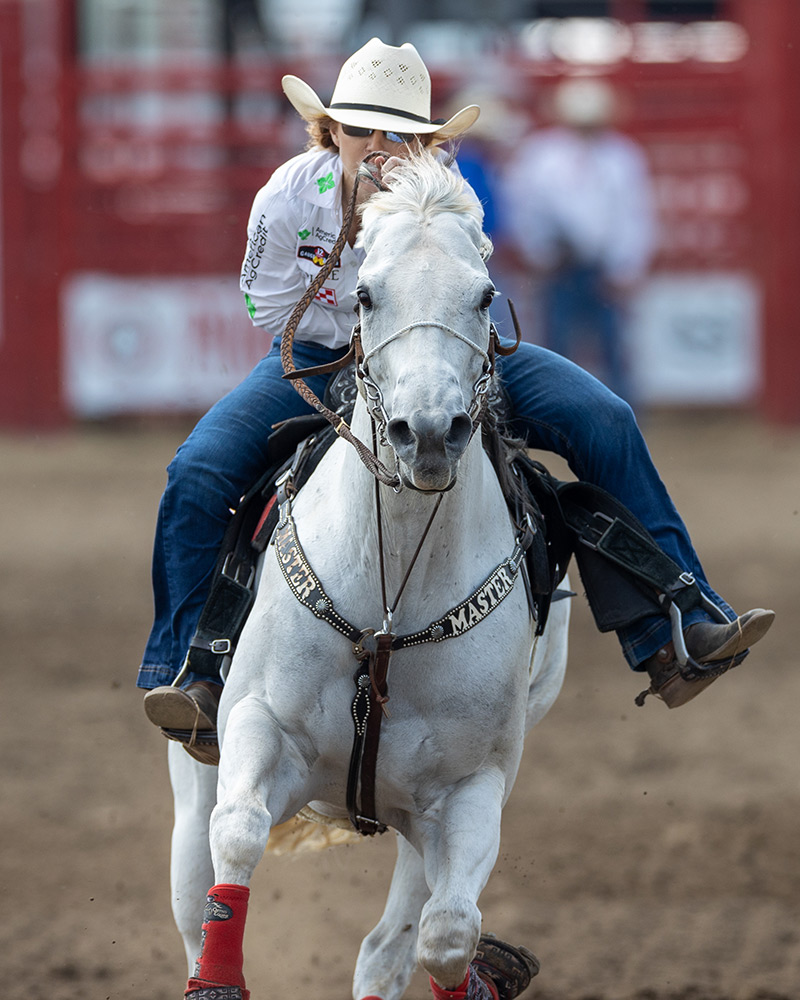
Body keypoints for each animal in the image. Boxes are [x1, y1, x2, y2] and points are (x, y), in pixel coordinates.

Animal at [167, 150, 568, 1000]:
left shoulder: (471, 789)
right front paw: (219, 980)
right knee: (192, 893)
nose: (429, 432)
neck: (388, 607)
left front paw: (488, 971)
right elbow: (240, 833)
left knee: (392, 944)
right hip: (192, 762)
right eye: (364, 292)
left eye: (484, 294)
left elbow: (447, 936)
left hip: (415, 814)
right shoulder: (259, 723)